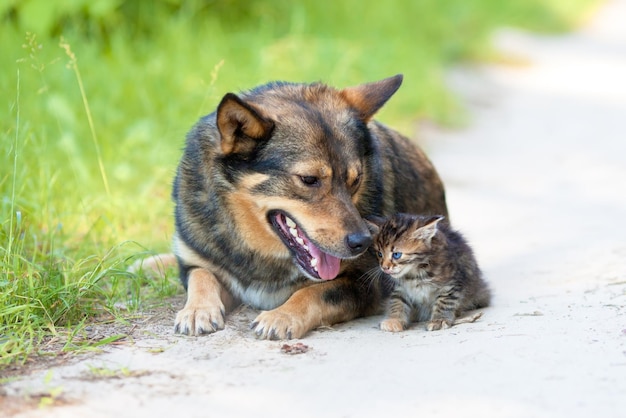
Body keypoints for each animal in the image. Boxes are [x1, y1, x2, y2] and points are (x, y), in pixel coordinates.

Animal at [161, 76, 448, 340]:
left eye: (355, 180)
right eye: (309, 180)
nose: (363, 242)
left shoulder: (368, 283)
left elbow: (314, 292)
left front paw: (281, 316)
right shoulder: (196, 261)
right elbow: (201, 276)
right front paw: (197, 310)